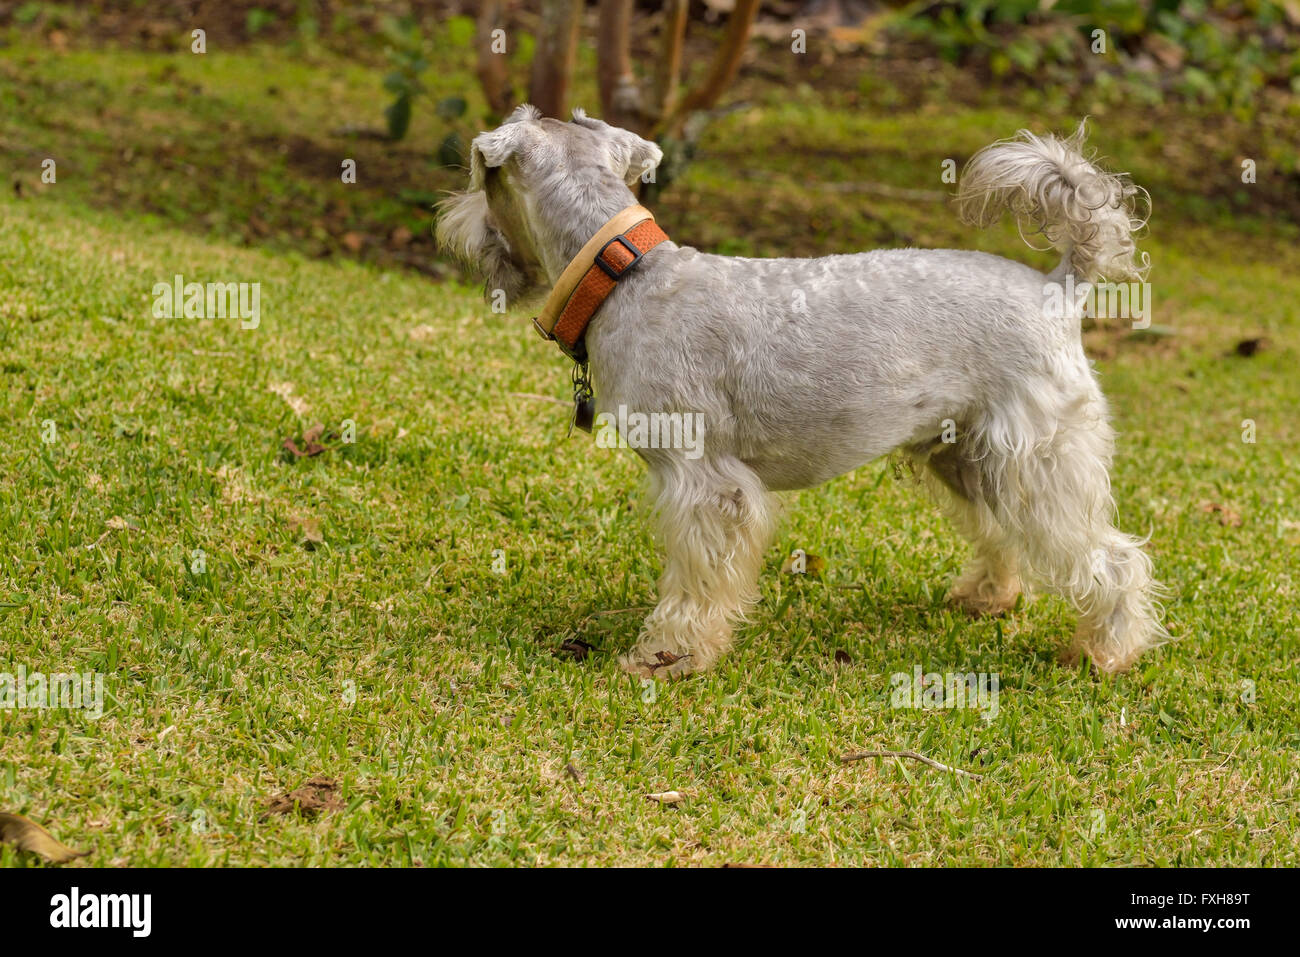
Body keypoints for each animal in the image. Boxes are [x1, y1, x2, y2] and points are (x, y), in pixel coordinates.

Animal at [439, 106, 1170, 681]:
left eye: (478, 176)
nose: (447, 220)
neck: (625, 277)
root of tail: (1057, 287)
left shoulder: (706, 486)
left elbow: (695, 584)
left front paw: (666, 656)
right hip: (967, 457)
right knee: (1005, 535)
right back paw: (988, 597)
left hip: (1036, 462)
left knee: (1113, 558)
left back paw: (1104, 652)